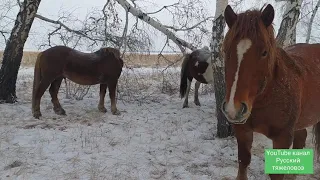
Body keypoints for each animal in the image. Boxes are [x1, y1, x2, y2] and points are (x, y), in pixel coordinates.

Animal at [221, 3, 320, 180]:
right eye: (226, 51)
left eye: (264, 52)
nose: (234, 109)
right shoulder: (243, 131)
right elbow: (243, 161)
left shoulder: (282, 138)